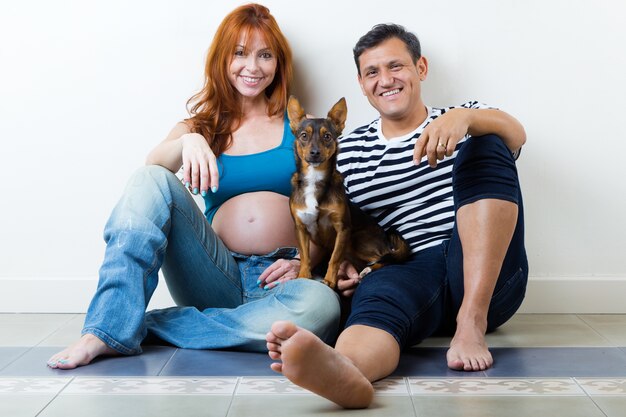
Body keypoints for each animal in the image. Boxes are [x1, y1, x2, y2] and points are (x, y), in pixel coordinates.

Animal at [288, 96, 410, 288]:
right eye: (304, 136)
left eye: (327, 136)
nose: (315, 153)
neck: (315, 178)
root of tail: (385, 239)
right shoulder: (300, 228)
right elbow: (305, 257)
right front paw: (303, 276)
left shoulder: (343, 229)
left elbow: (335, 258)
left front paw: (330, 280)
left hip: (357, 239)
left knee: (385, 257)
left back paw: (369, 270)